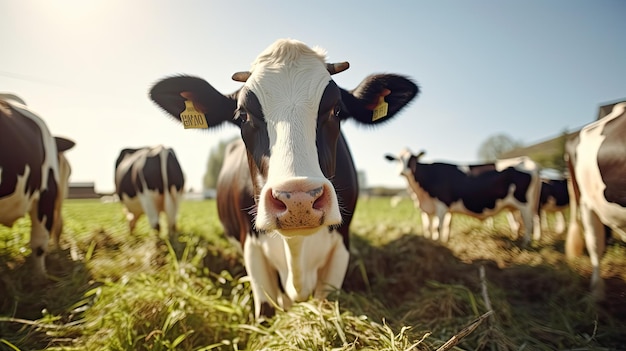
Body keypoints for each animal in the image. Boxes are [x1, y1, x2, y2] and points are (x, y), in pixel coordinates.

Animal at [148, 38, 416, 320]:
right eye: (242, 115)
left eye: (337, 110)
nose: (298, 199)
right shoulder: (252, 248)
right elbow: (265, 309)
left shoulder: (340, 247)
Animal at [382, 150, 540, 246]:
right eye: (397, 160)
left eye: (413, 159)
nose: (403, 171)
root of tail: (526, 160)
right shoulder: (427, 209)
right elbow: (431, 227)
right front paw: (435, 242)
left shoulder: (441, 205)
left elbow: (438, 227)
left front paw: (439, 244)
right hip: (513, 207)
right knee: (518, 224)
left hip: (525, 205)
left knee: (529, 223)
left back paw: (525, 244)